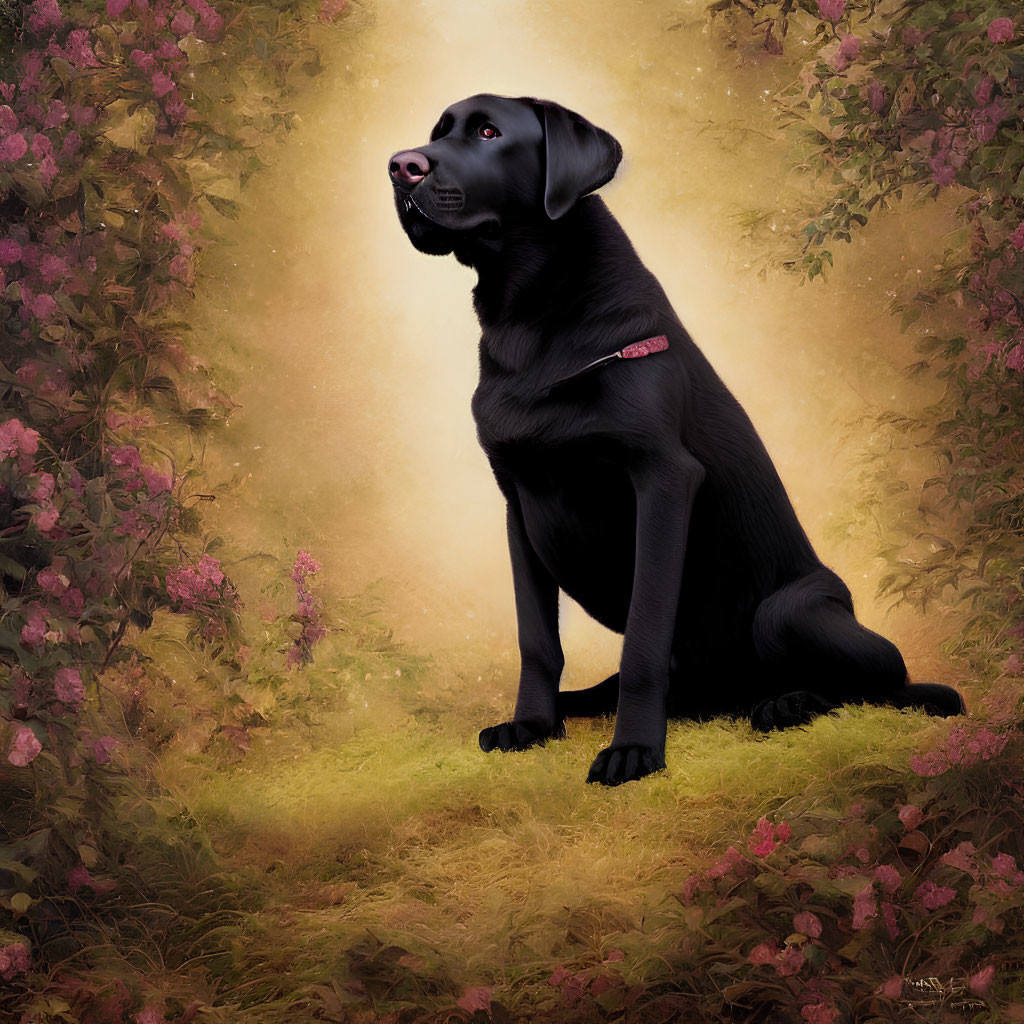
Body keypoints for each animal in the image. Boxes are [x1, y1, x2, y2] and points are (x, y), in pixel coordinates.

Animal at [387, 94, 962, 782]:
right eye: (437, 131)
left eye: (490, 132)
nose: (399, 166)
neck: (529, 318)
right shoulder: (517, 502)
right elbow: (537, 640)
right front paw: (532, 725)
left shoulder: (662, 480)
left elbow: (642, 638)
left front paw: (634, 750)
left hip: (796, 611)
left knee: (874, 684)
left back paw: (788, 702)